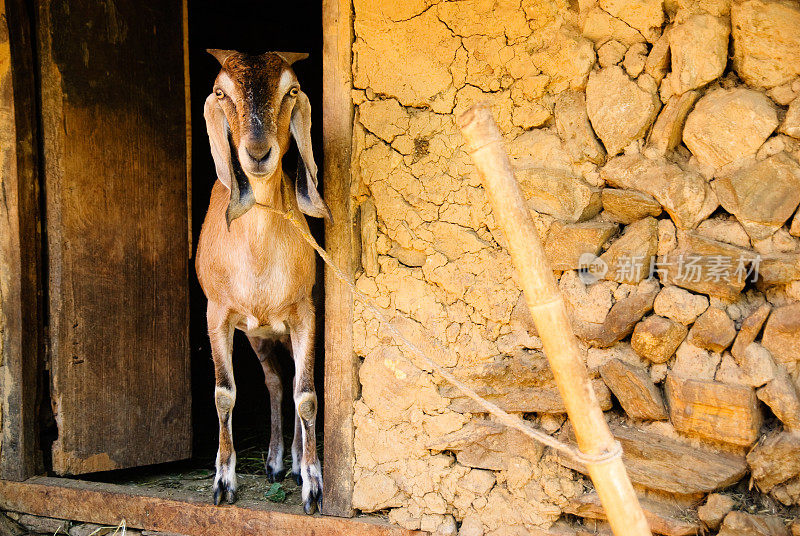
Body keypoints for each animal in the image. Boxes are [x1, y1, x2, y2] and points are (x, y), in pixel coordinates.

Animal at [195, 50, 330, 516]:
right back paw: (273, 461)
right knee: (273, 380)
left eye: (292, 90)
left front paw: (313, 485)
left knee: (292, 381)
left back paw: (294, 462)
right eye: (220, 92)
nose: (257, 153)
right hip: (258, 334)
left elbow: (306, 395)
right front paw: (223, 482)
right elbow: (224, 393)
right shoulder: (217, 314)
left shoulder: (306, 314)